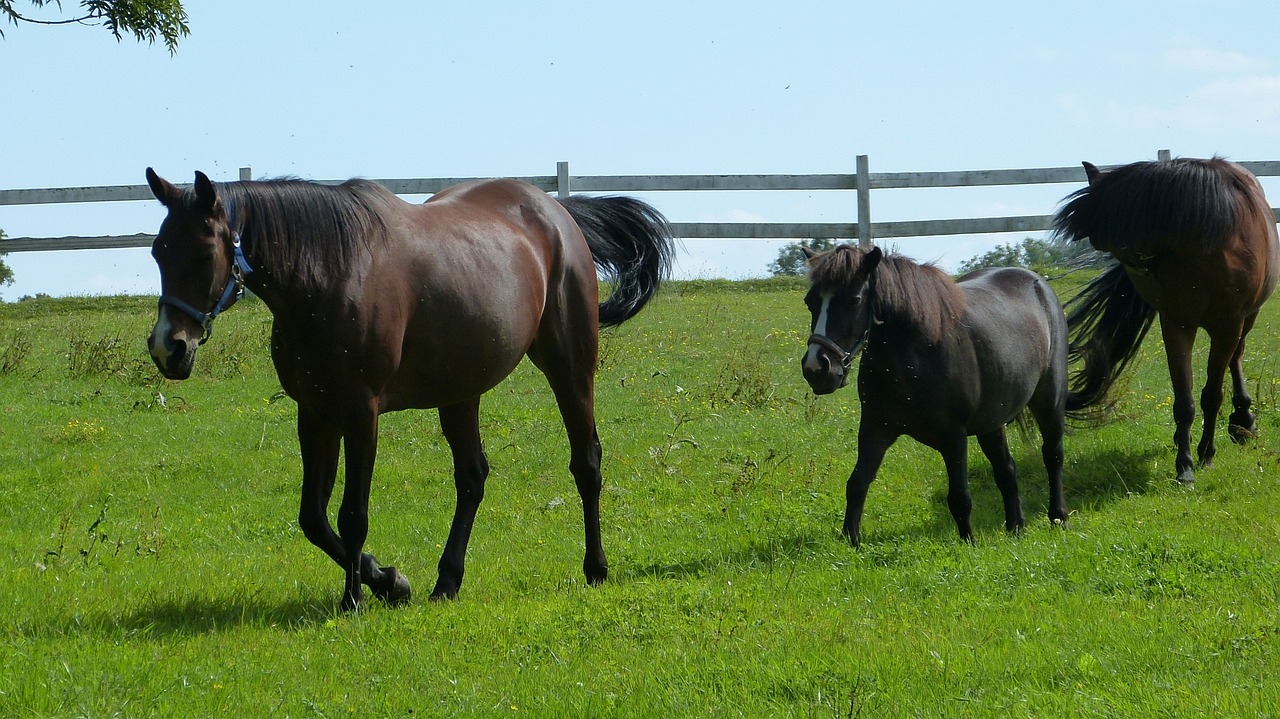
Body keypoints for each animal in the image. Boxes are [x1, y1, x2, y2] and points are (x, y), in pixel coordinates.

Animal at [145, 168, 675, 608]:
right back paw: (447, 580)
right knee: (472, 477)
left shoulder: (360, 412)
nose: (168, 347)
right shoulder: (315, 412)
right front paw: (388, 581)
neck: (331, 275)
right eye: (157, 252)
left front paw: (355, 598)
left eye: (203, 253)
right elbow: (313, 518)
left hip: (570, 366)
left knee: (586, 462)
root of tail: (557, 213)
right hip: (460, 391)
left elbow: (351, 514)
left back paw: (596, 567)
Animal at [798, 244, 1070, 542]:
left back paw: (1058, 517)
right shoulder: (875, 428)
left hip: (1049, 402)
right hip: (992, 421)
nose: (816, 368)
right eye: (810, 302)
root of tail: (1039, 283)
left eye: (853, 300)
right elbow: (857, 484)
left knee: (1052, 455)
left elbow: (960, 497)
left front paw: (968, 543)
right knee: (1006, 467)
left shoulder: (954, 436)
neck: (914, 357)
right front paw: (851, 540)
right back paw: (1015, 526)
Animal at [1049, 156, 1280, 481]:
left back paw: (1243, 420)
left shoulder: (1228, 325)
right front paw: (1185, 465)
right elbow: (1184, 401)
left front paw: (1207, 454)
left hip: (1246, 319)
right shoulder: (1176, 324)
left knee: (1236, 357)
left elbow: (1212, 395)